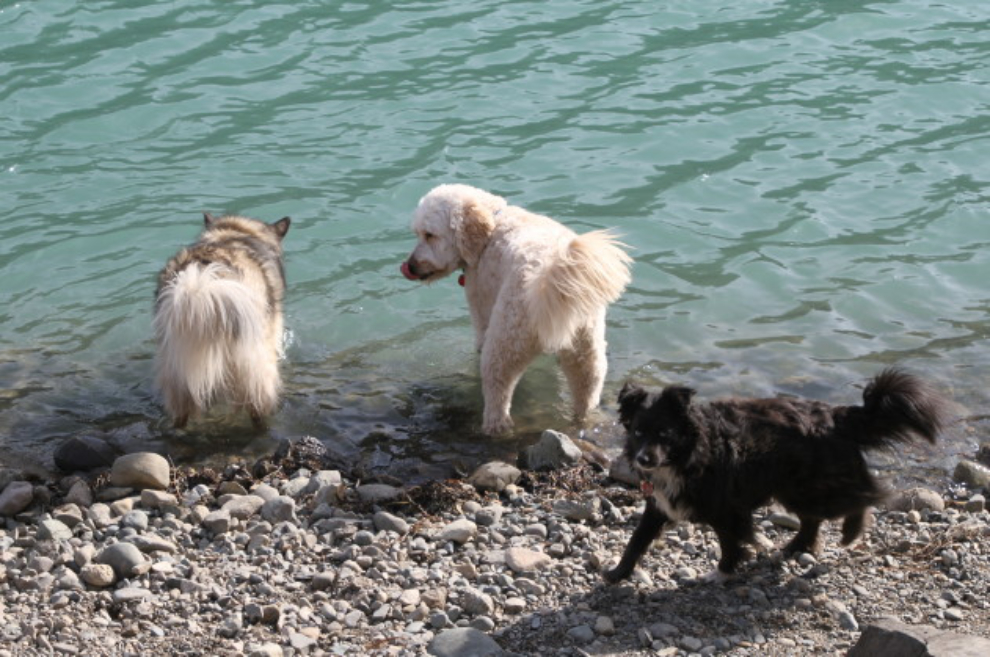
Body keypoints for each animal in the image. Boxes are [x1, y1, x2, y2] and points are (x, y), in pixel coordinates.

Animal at [404, 182, 636, 434]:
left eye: (429, 235)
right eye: (418, 233)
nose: (410, 266)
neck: (492, 226)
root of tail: (549, 277)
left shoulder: (480, 300)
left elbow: (479, 337)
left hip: (506, 337)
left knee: (497, 386)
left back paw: (494, 426)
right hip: (585, 343)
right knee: (588, 383)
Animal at [604, 366, 952, 580]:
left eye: (664, 433)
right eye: (637, 432)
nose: (644, 460)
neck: (688, 455)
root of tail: (837, 416)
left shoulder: (726, 509)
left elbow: (730, 542)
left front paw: (723, 571)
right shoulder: (659, 504)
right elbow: (637, 539)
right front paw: (618, 574)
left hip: (811, 486)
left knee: (863, 496)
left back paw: (851, 532)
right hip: (794, 489)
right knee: (813, 520)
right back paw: (795, 547)